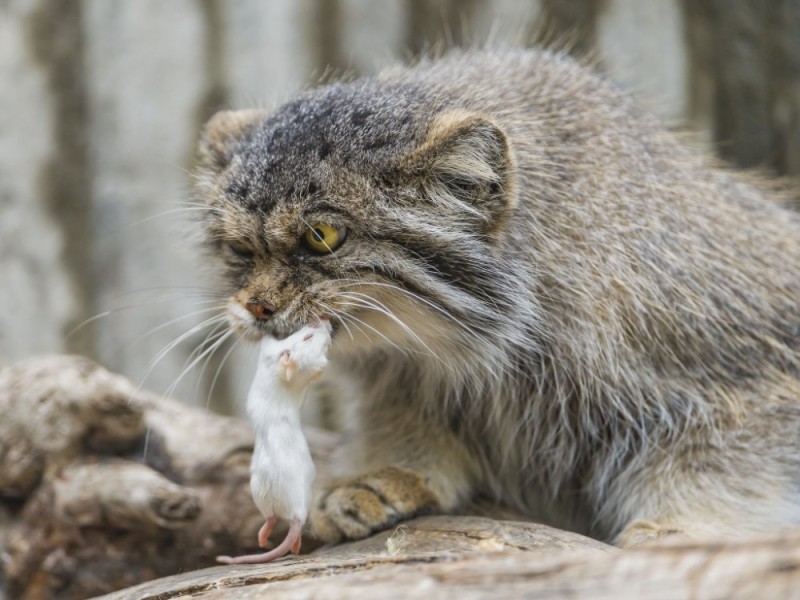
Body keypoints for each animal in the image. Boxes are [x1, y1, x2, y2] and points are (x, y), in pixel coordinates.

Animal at [217, 322, 330, 564]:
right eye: (307, 337)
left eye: (300, 333)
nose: (322, 321)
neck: (273, 366)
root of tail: (292, 510)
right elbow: (317, 369)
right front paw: (323, 366)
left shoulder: (267, 352)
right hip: (305, 499)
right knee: (294, 529)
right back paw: (295, 547)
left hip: (259, 496)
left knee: (270, 519)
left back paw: (262, 539)